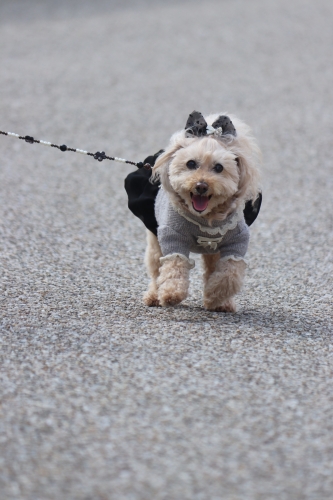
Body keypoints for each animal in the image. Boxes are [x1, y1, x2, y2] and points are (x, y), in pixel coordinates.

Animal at [124, 111, 260, 310]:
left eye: (219, 167)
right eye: (191, 164)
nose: (201, 186)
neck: (207, 219)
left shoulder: (237, 242)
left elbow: (230, 274)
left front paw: (213, 297)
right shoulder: (172, 236)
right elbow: (174, 265)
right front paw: (171, 294)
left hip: (213, 251)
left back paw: (224, 304)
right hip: (155, 238)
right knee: (156, 269)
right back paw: (154, 296)